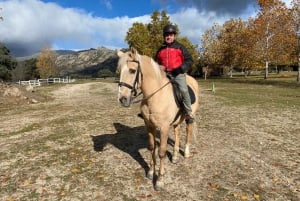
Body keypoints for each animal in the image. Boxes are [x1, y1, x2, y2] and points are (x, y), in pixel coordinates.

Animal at [117, 46, 199, 190]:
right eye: (120, 70)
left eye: (132, 70)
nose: (123, 99)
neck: (156, 95)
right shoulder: (149, 125)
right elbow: (152, 147)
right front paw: (150, 172)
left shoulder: (164, 128)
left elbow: (161, 152)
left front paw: (160, 180)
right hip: (177, 120)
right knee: (177, 132)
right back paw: (175, 156)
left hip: (189, 117)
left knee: (188, 131)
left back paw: (186, 153)